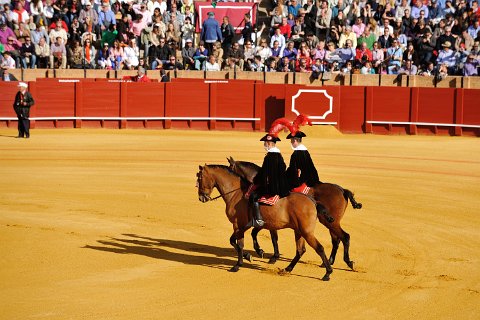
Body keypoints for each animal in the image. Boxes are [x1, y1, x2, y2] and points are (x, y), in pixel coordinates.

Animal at [195, 165, 334, 280]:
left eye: (200, 178)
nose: (201, 197)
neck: (236, 193)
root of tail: (312, 201)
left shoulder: (237, 225)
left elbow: (238, 243)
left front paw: (238, 265)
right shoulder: (245, 226)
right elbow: (237, 241)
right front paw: (250, 255)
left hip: (306, 232)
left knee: (319, 248)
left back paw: (327, 273)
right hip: (299, 231)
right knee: (300, 250)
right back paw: (287, 269)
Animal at [227, 156, 362, 268]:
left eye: (230, 168)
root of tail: (342, 190)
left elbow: (267, 236)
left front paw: (269, 255)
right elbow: (265, 235)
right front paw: (268, 254)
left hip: (330, 222)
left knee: (344, 237)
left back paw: (346, 262)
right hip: (330, 222)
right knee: (336, 240)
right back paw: (329, 262)